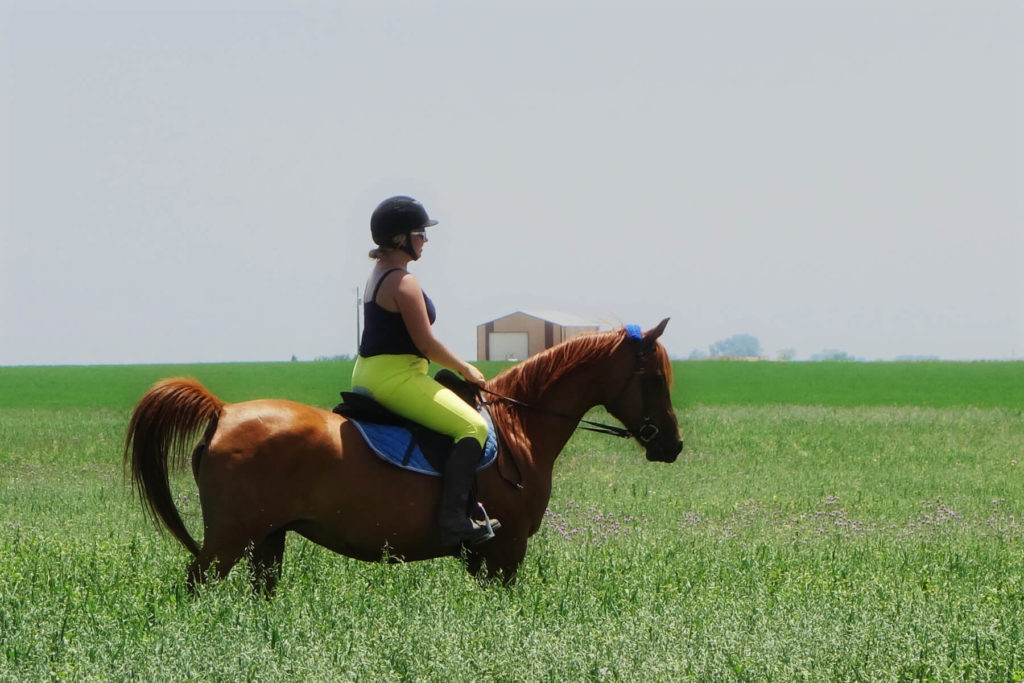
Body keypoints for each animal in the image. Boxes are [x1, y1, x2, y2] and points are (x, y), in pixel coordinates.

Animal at [123, 321, 684, 593]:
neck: (519, 426)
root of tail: (224, 411)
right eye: (655, 378)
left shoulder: (487, 558)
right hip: (229, 540)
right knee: (195, 589)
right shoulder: (505, 553)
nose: (672, 445)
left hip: (267, 538)